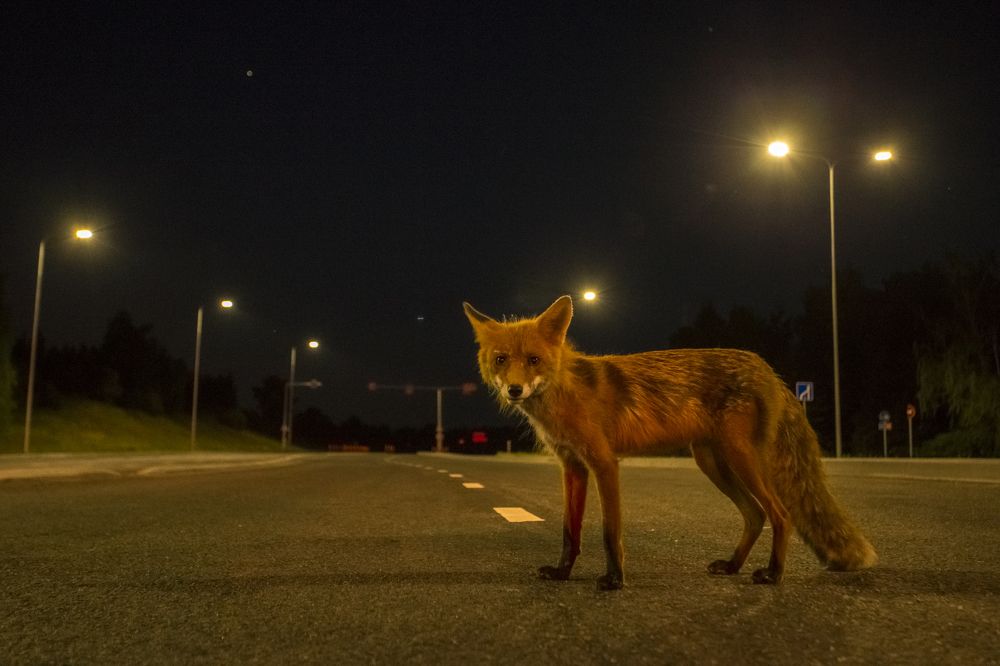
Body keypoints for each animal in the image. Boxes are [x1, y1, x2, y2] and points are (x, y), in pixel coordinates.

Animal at [463, 295, 877, 590]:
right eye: (501, 360)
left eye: (533, 360)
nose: (515, 390)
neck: (566, 394)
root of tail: (769, 371)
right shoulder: (572, 466)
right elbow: (570, 531)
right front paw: (563, 573)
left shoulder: (604, 462)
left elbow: (610, 531)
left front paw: (615, 580)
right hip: (712, 463)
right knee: (754, 514)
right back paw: (733, 566)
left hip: (741, 459)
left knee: (780, 514)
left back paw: (773, 574)